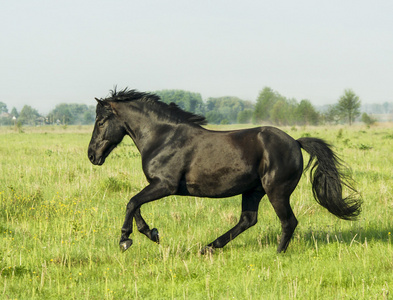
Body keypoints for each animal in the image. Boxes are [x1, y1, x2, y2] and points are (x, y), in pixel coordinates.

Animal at [87, 88, 360, 253]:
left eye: (101, 121)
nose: (92, 155)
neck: (163, 137)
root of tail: (295, 141)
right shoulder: (158, 185)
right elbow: (135, 204)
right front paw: (151, 233)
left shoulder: (165, 184)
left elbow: (132, 202)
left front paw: (126, 239)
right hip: (253, 191)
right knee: (248, 220)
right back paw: (208, 247)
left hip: (276, 191)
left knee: (288, 222)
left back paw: (277, 254)